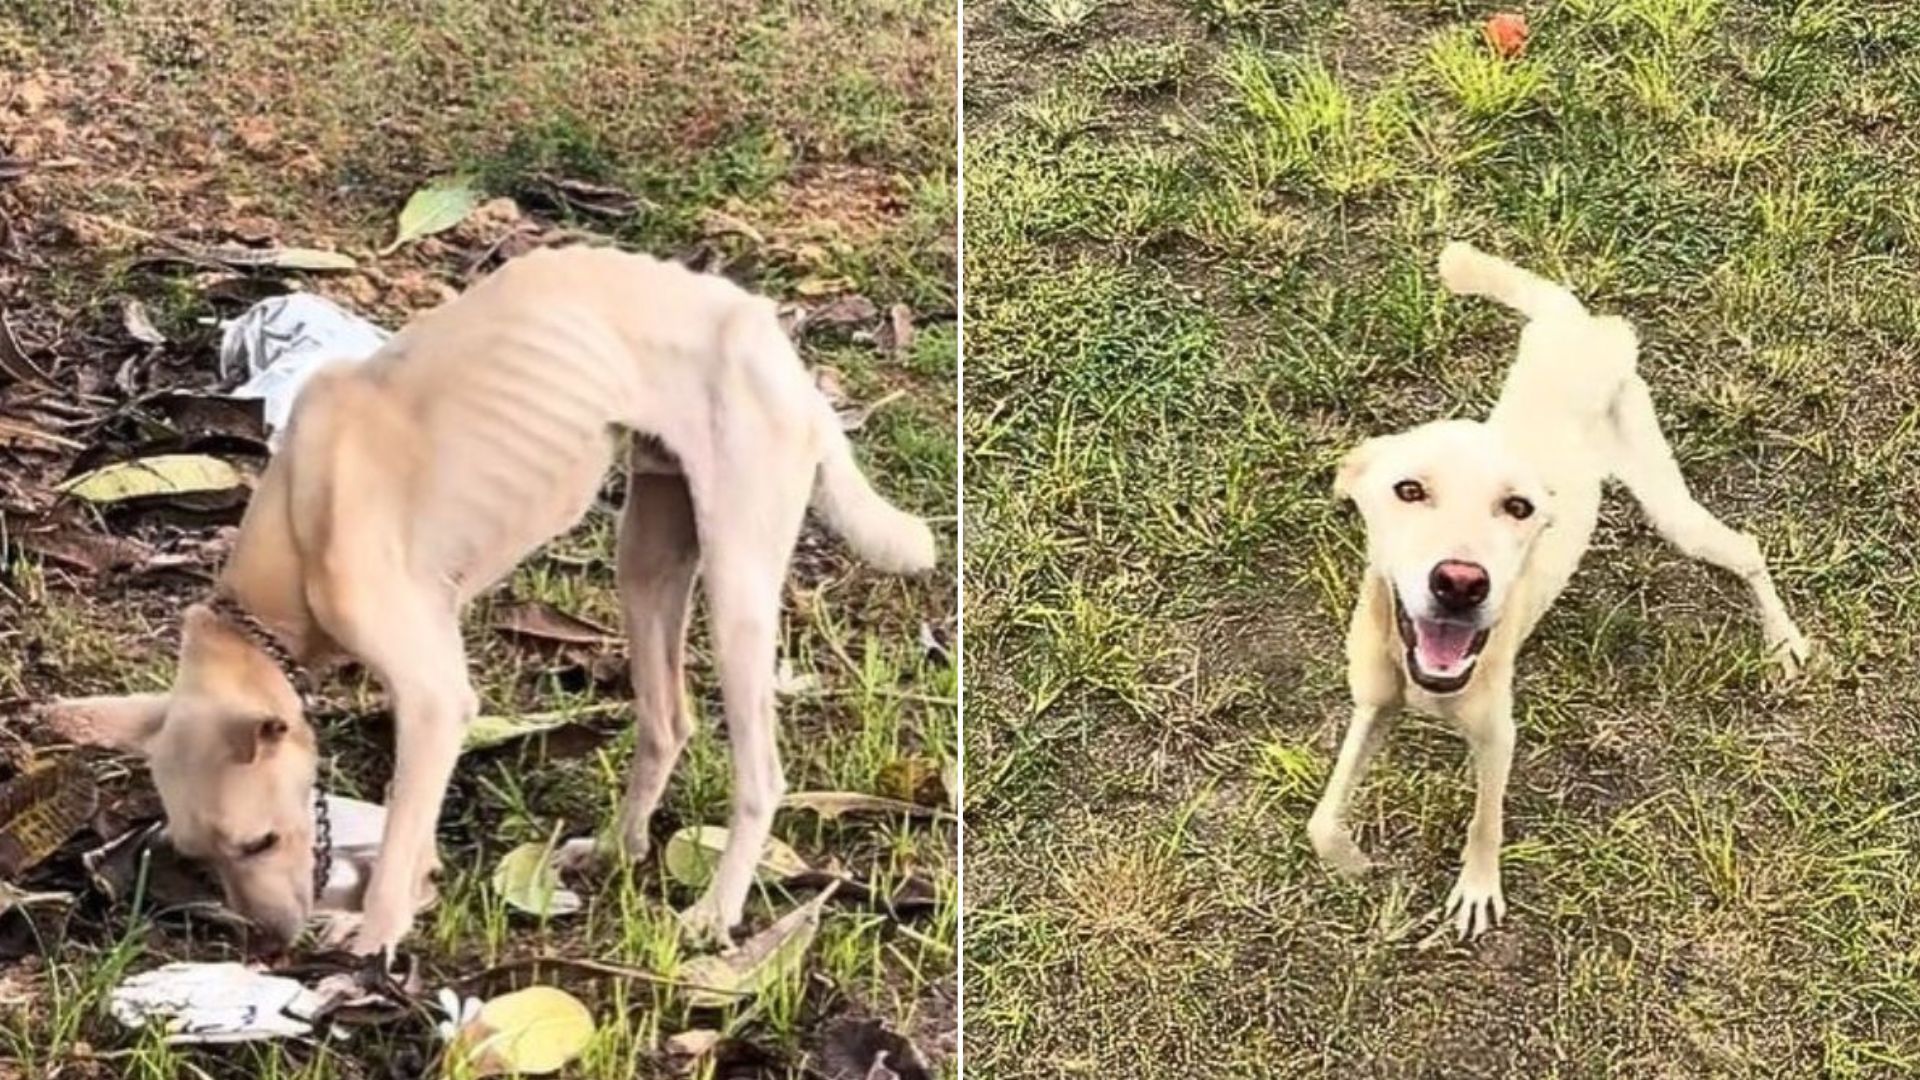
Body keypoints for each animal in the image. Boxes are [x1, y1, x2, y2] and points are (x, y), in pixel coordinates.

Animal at [1313, 242, 1804, 933]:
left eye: (1518, 507)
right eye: (1408, 489)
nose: (1460, 583)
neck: (1423, 674)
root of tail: (1576, 325)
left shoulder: (1497, 737)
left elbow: (1485, 822)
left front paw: (1477, 889)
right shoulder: (1373, 705)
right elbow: (1322, 818)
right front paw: (1352, 860)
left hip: (1671, 508)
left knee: (1748, 549)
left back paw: (1783, 643)